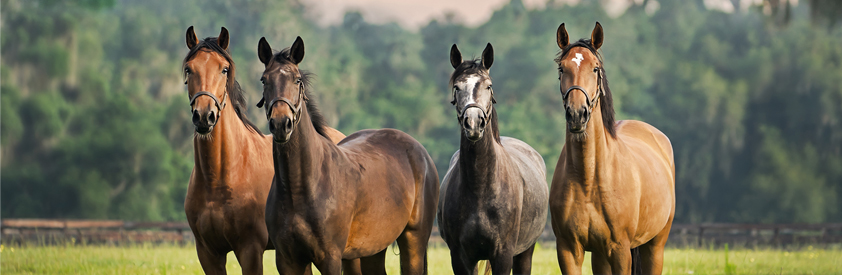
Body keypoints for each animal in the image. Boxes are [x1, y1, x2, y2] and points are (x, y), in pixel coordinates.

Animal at [181, 26, 344, 275]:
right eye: (189, 69)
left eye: (224, 69)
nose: (204, 116)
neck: (219, 178)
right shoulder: (208, 254)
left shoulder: (250, 250)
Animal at [254, 36, 440, 275]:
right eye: (264, 80)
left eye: (297, 80)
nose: (280, 124)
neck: (301, 188)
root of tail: (421, 152)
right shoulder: (289, 261)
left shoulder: (330, 258)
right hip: (371, 249)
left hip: (413, 240)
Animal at [436, 43, 548, 275]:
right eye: (457, 87)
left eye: (489, 86)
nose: (473, 123)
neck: (481, 188)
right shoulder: (460, 257)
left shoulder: (503, 255)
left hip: (526, 251)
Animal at [544, 22, 676, 275]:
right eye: (562, 69)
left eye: (595, 68)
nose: (577, 114)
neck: (588, 180)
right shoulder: (568, 250)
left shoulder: (620, 250)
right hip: (600, 255)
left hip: (655, 246)